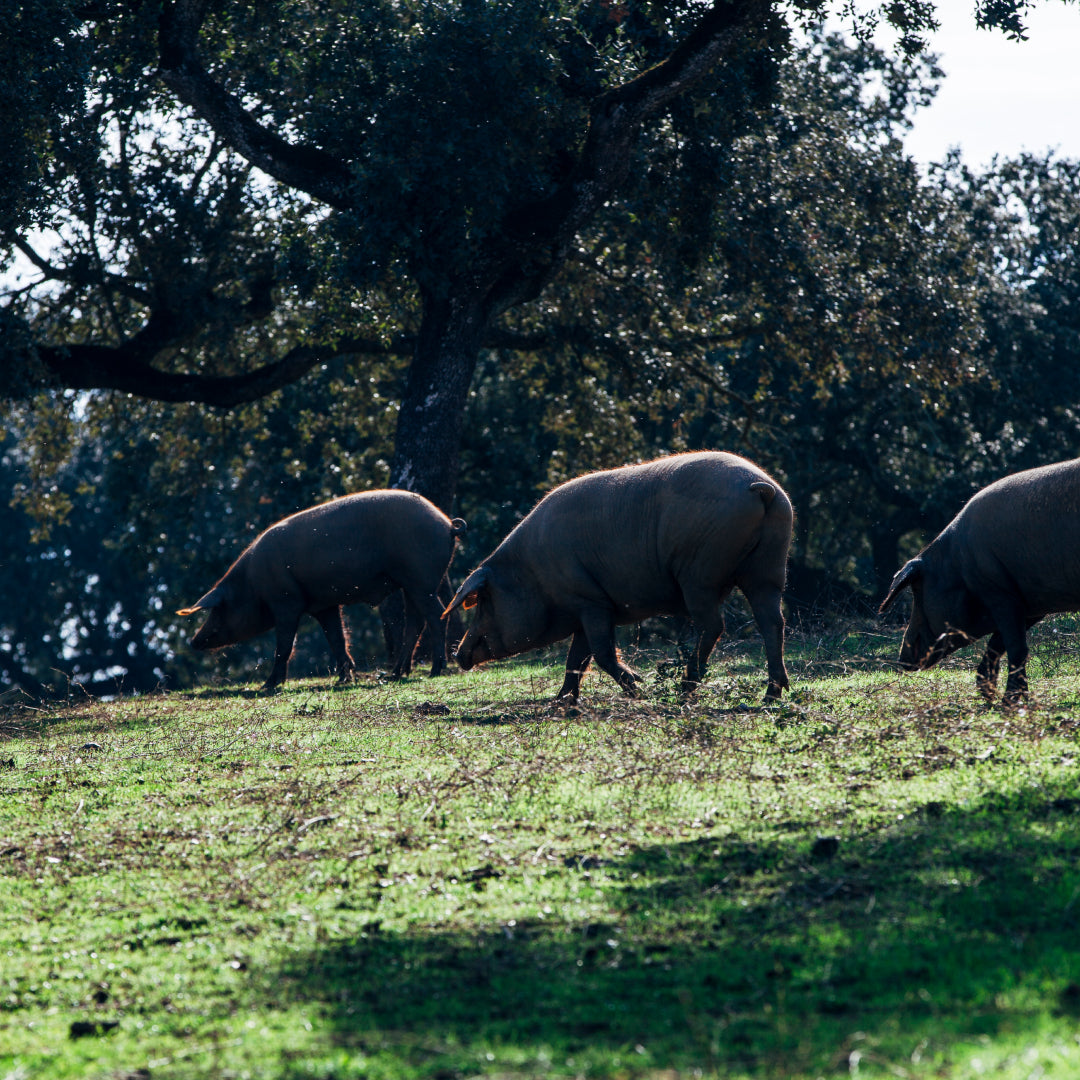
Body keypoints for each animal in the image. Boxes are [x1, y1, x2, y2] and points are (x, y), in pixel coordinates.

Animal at [176, 492, 464, 691]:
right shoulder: (324, 606)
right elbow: (336, 638)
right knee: (415, 622)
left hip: (420, 577)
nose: (193, 641)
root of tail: (447, 524)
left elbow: (285, 645)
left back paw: (435, 670)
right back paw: (396, 674)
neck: (251, 585)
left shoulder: (285, 601)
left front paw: (268, 686)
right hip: (413, 582)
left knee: (437, 614)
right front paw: (343, 680)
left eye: (218, 610)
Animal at [440, 453, 794, 699]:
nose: (457, 654)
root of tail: (759, 488)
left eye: (483, 601)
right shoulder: (586, 608)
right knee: (772, 621)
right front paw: (561, 702)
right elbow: (577, 658)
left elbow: (601, 653)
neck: (531, 574)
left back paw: (683, 692)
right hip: (769, 567)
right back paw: (772, 694)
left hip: (699, 574)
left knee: (713, 626)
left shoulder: (590, 601)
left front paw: (639, 688)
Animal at [876, 457, 1080, 704]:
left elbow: (1016, 647)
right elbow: (998, 644)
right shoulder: (1029, 604)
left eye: (917, 591)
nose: (902, 659)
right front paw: (988, 695)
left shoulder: (998, 592)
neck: (956, 566)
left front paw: (1008, 702)